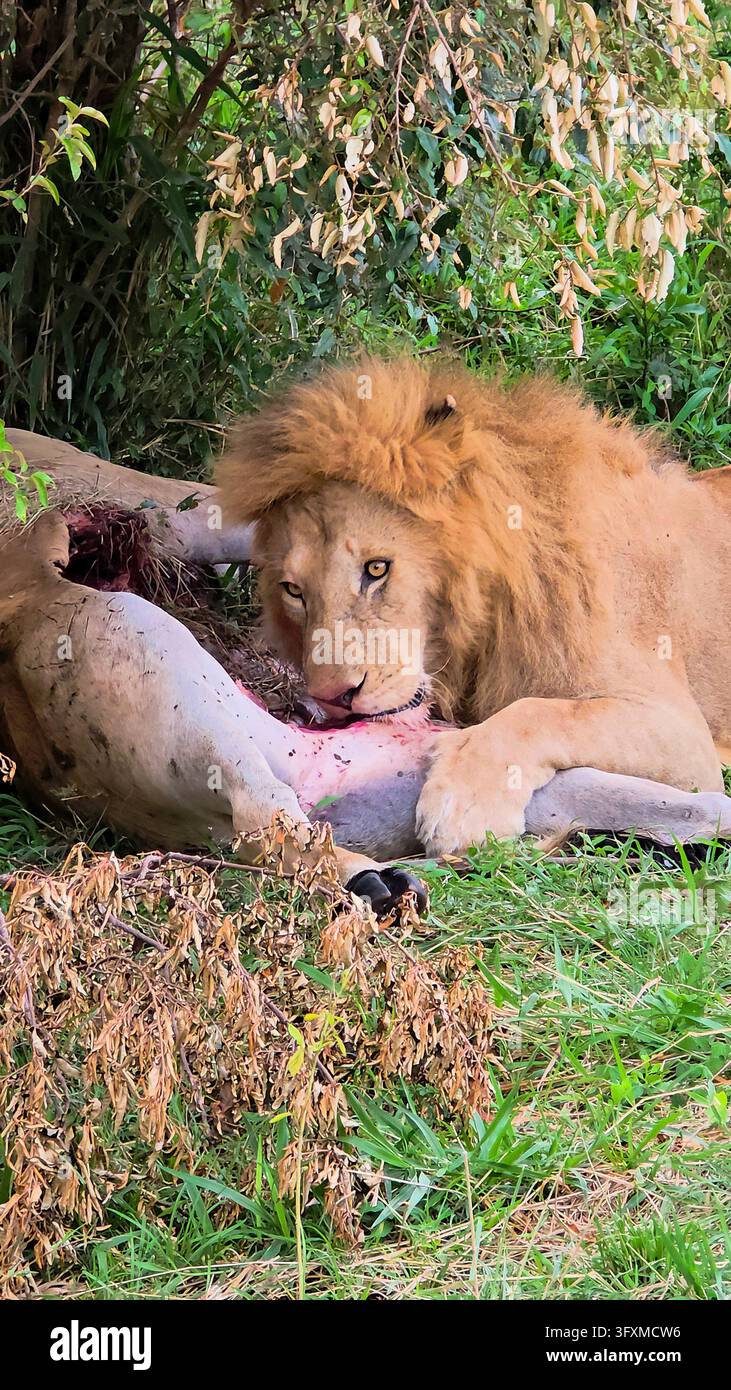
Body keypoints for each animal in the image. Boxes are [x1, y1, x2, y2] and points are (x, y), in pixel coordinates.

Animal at [216, 356, 731, 856]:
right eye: (294, 590)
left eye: (377, 568)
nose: (331, 698)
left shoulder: (682, 733)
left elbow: (540, 713)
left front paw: (462, 802)